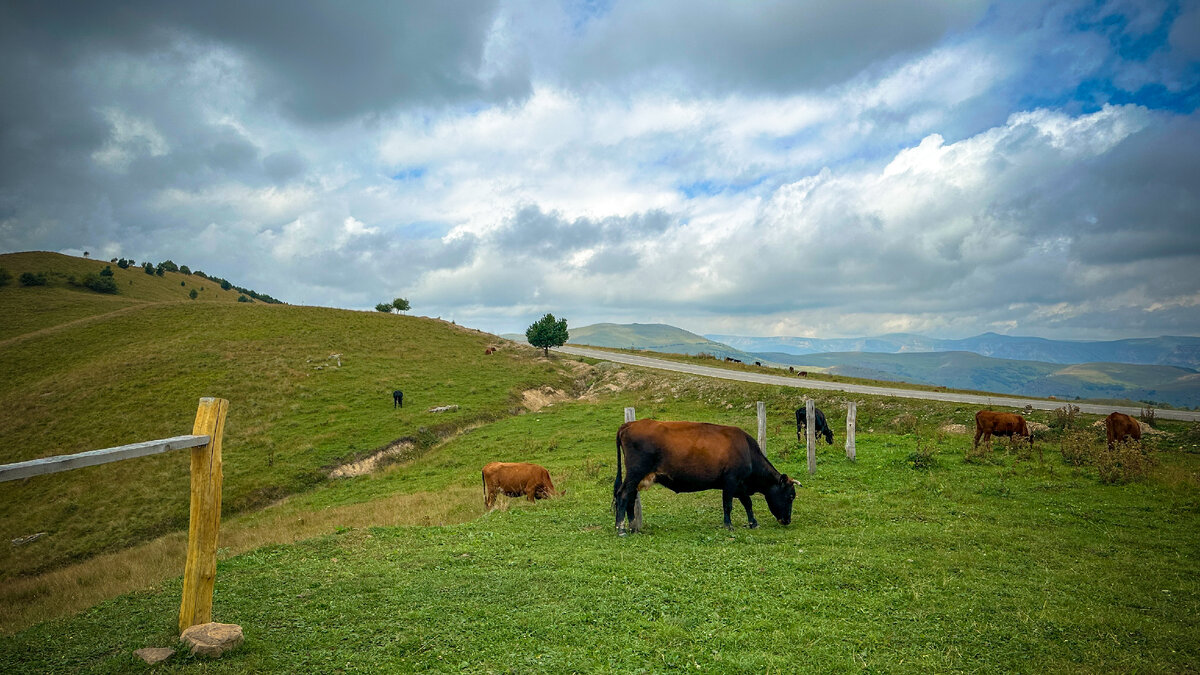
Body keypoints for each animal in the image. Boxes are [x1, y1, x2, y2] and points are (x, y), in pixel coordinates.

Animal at [614, 417, 801, 533]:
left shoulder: (740, 485)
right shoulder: (731, 481)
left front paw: (753, 523)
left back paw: (633, 527)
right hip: (635, 473)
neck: (747, 450)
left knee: (630, 497)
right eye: (791, 496)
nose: (787, 520)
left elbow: (748, 503)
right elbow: (728, 505)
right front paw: (728, 525)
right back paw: (621, 529)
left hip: (637, 478)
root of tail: (629, 424)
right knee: (623, 495)